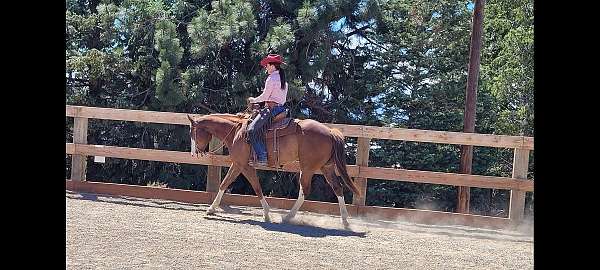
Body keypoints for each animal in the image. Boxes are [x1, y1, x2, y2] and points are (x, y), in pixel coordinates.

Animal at [188, 111, 358, 226]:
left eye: (193, 133)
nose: (195, 153)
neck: (236, 132)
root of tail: (330, 131)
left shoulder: (243, 165)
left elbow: (254, 187)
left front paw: (267, 214)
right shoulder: (238, 164)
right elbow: (225, 184)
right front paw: (211, 209)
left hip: (308, 168)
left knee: (305, 190)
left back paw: (288, 217)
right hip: (325, 167)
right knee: (337, 188)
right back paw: (345, 221)